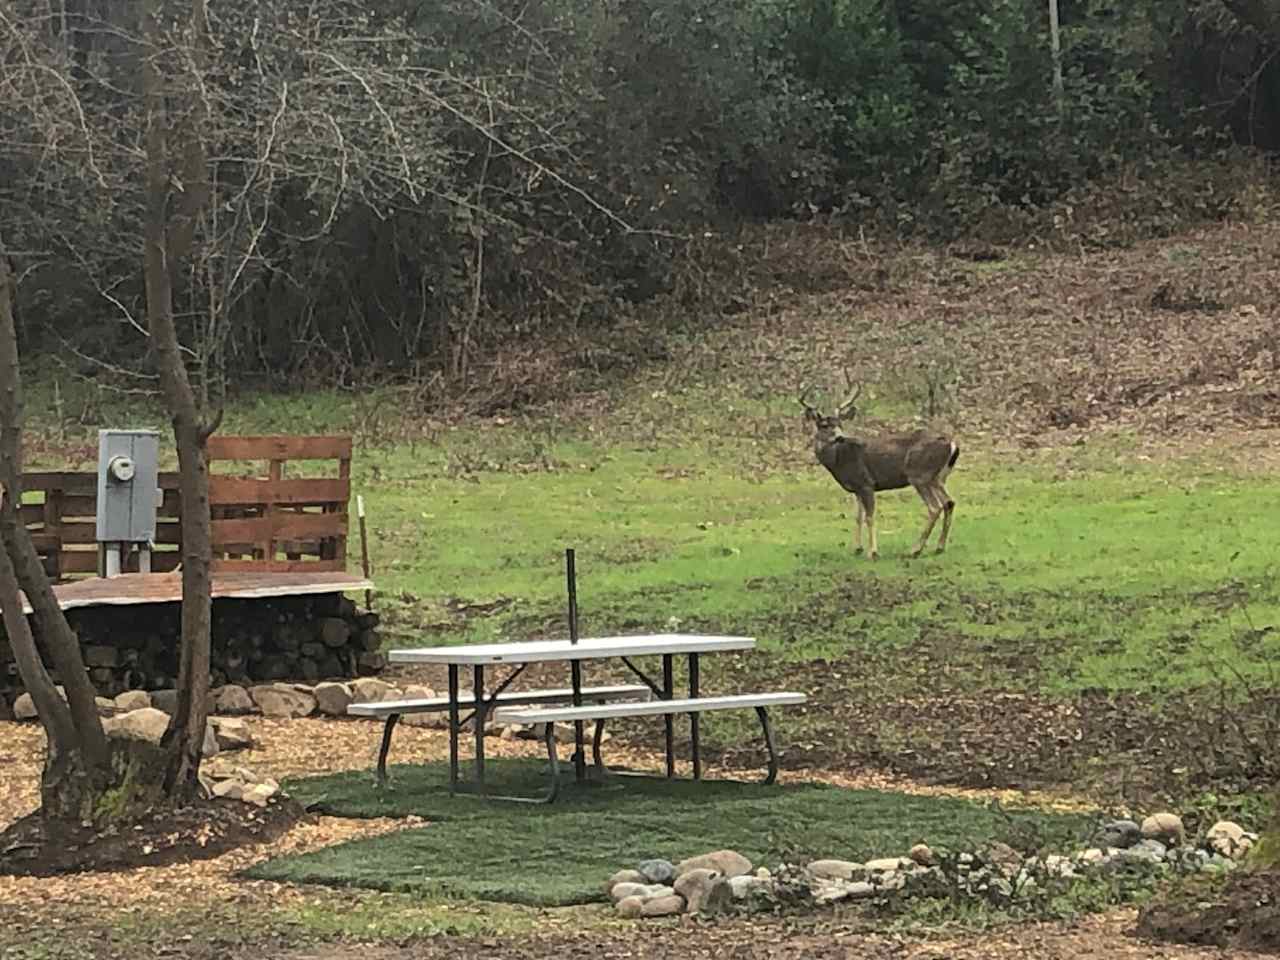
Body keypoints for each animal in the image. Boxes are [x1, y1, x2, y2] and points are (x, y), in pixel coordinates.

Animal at [798, 386, 962, 563]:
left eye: (840, 424)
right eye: (823, 425)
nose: (840, 437)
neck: (839, 460)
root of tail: (952, 444)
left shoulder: (866, 483)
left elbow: (869, 517)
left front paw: (873, 552)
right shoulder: (857, 489)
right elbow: (858, 517)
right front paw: (857, 549)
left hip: (919, 474)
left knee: (934, 507)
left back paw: (915, 550)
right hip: (937, 478)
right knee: (949, 502)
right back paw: (939, 547)